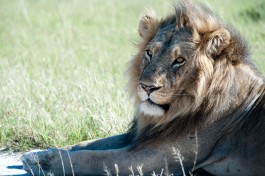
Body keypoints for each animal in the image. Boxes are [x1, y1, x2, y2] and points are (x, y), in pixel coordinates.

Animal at [23, 0, 264, 175]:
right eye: (149, 53)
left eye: (179, 60)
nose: (147, 87)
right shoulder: (139, 138)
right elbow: (85, 144)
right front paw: (42, 152)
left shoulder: (154, 158)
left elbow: (93, 157)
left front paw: (38, 161)